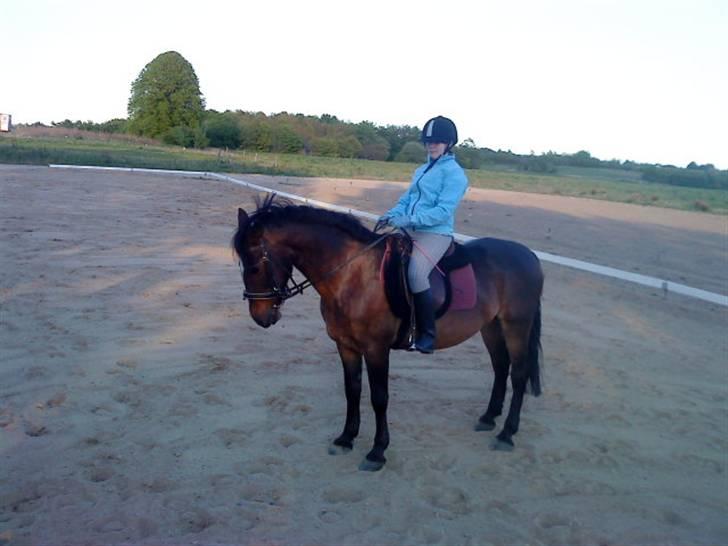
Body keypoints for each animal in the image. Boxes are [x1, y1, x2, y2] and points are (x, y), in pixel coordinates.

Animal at [232, 194, 544, 472]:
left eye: (255, 266)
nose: (260, 317)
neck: (352, 275)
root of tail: (529, 255)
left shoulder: (376, 349)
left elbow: (379, 398)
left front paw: (377, 452)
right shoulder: (346, 346)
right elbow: (352, 390)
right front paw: (346, 439)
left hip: (516, 325)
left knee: (518, 374)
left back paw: (506, 434)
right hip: (491, 326)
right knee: (501, 367)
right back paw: (489, 418)